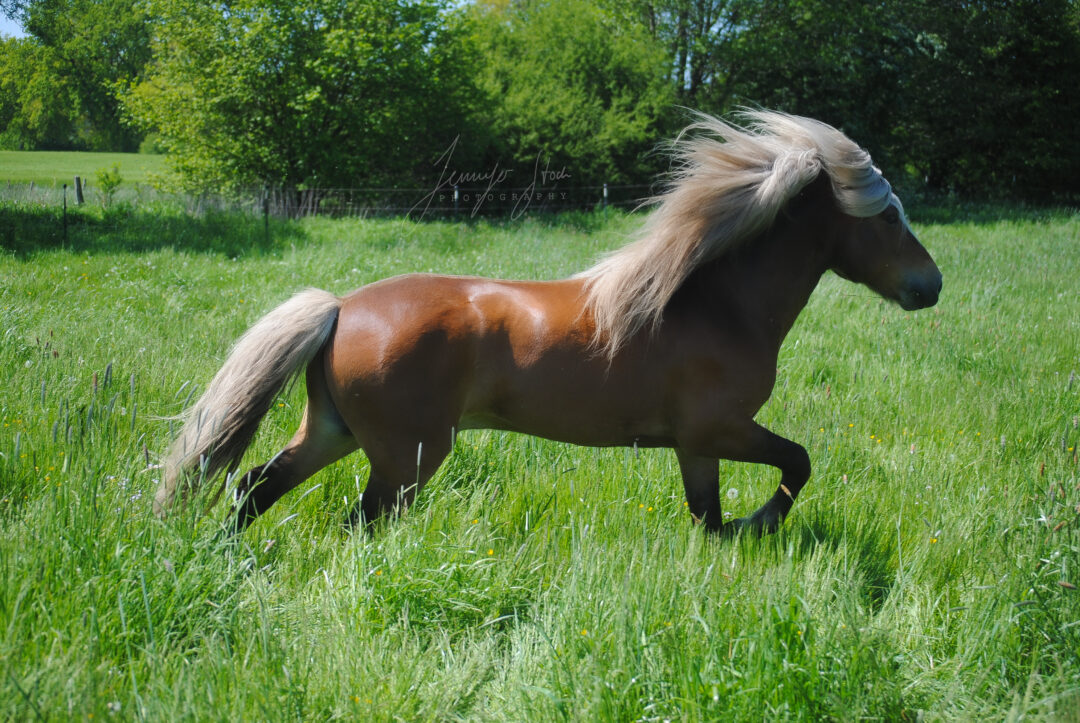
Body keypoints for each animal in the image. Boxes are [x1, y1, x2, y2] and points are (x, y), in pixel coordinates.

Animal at [155, 110, 942, 537]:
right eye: (889, 215)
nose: (929, 286)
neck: (716, 306)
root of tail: (342, 306)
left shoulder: (695, 446)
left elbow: (708, 518)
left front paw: (734, 539)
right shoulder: (719, 430)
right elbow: (796, 463)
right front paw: (762, 524)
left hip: (335, 430)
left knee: (252, 486)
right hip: (407, 458)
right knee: (357, 522)